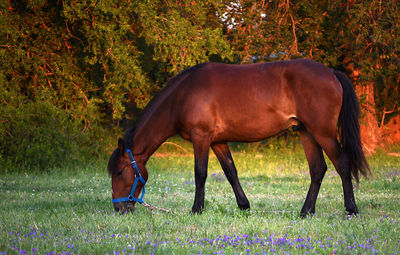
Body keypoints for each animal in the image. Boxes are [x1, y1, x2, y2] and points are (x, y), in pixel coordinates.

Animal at [108, 58, 370, 216]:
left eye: (120, 172)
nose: (119, 209)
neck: (183, 95)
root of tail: (331, 73)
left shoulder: (201, 137)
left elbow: (200, 174)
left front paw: (196, 209)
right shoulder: (218, 141)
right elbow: (230, 172)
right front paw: (244, 205)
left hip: (322, 132)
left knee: (342, 164)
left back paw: (351, 209)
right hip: (307, 132)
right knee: (318, 169)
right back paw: (306, 211)